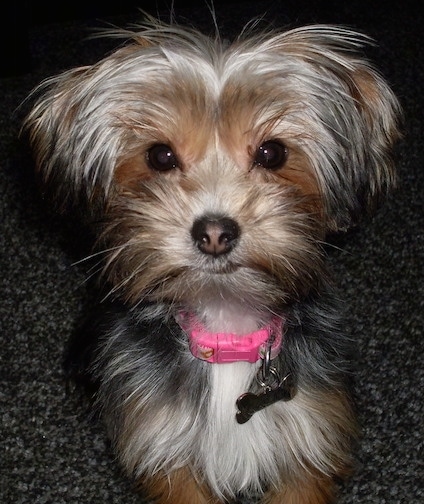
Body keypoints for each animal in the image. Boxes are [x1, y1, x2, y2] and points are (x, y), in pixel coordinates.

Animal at [24, 17, 402, 502]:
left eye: (272, 152)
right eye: (160, 155)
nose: (215, 232)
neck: (227, 326)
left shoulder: (309, 439)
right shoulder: (167, 451)